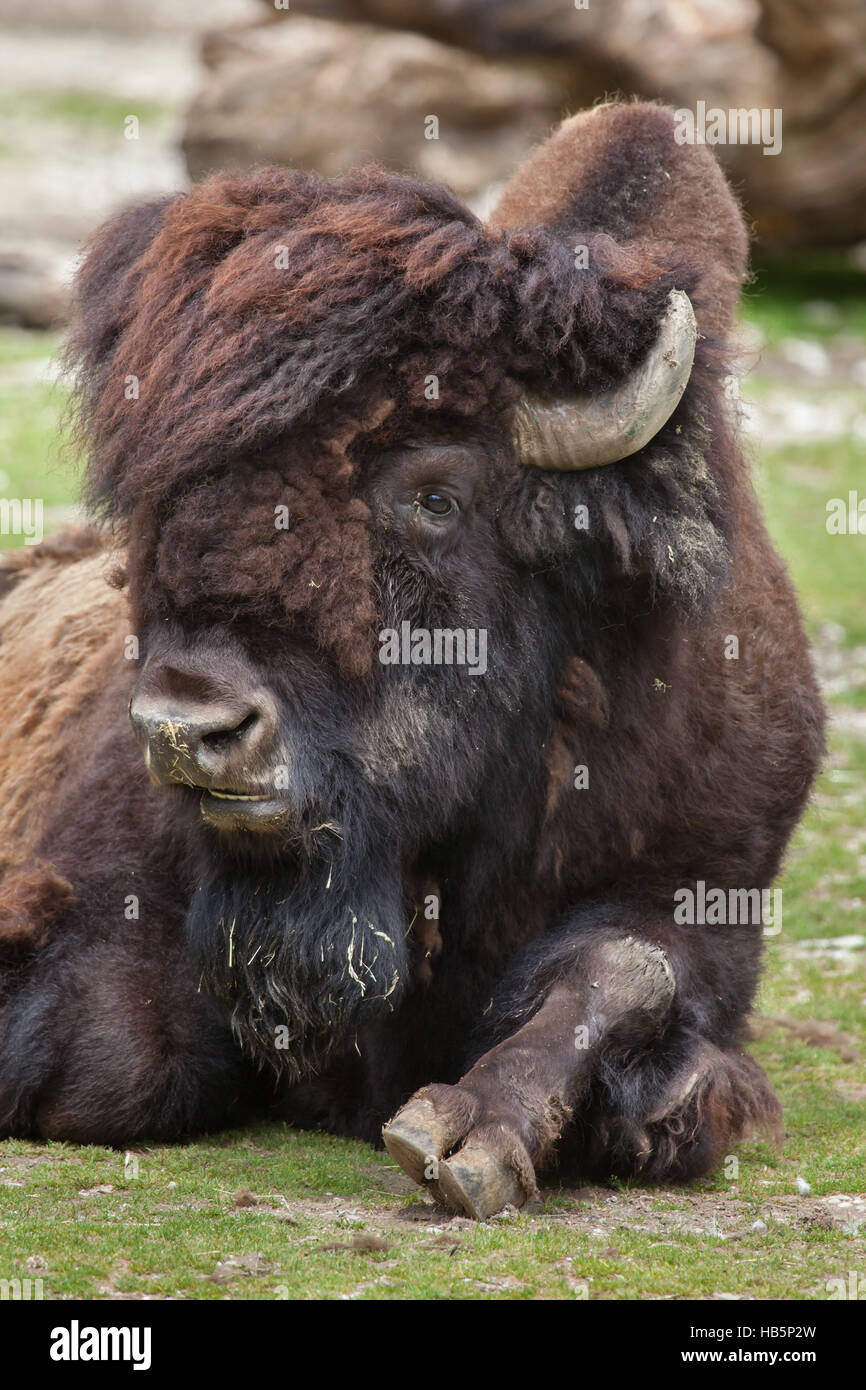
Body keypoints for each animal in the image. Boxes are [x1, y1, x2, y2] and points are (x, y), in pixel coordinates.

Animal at [0, 103, 824, 1219]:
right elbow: (116, 1057)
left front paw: (466, 1137)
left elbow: (623, 975)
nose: (186, 727)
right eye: (156, 503)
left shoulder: (707, 890)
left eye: (436, 495)